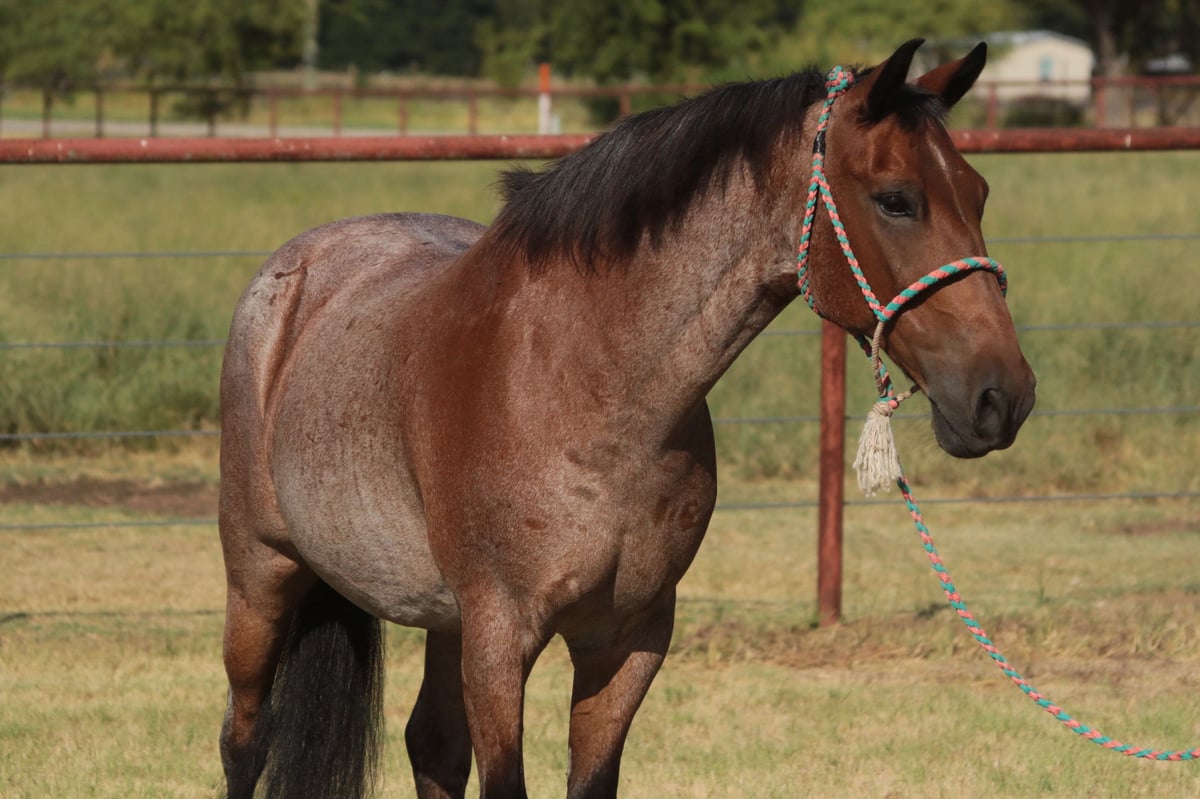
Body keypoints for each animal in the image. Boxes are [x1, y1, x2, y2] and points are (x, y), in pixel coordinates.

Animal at [217, 38, 1036, 799]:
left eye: (980, 191)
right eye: (896, 199)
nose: (1004, 396)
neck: (589, 392)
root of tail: (291, 272)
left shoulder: (628, 639)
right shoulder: (500, 639)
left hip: (441, 618)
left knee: (433, 746)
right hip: (261, 577)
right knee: (244, 739)